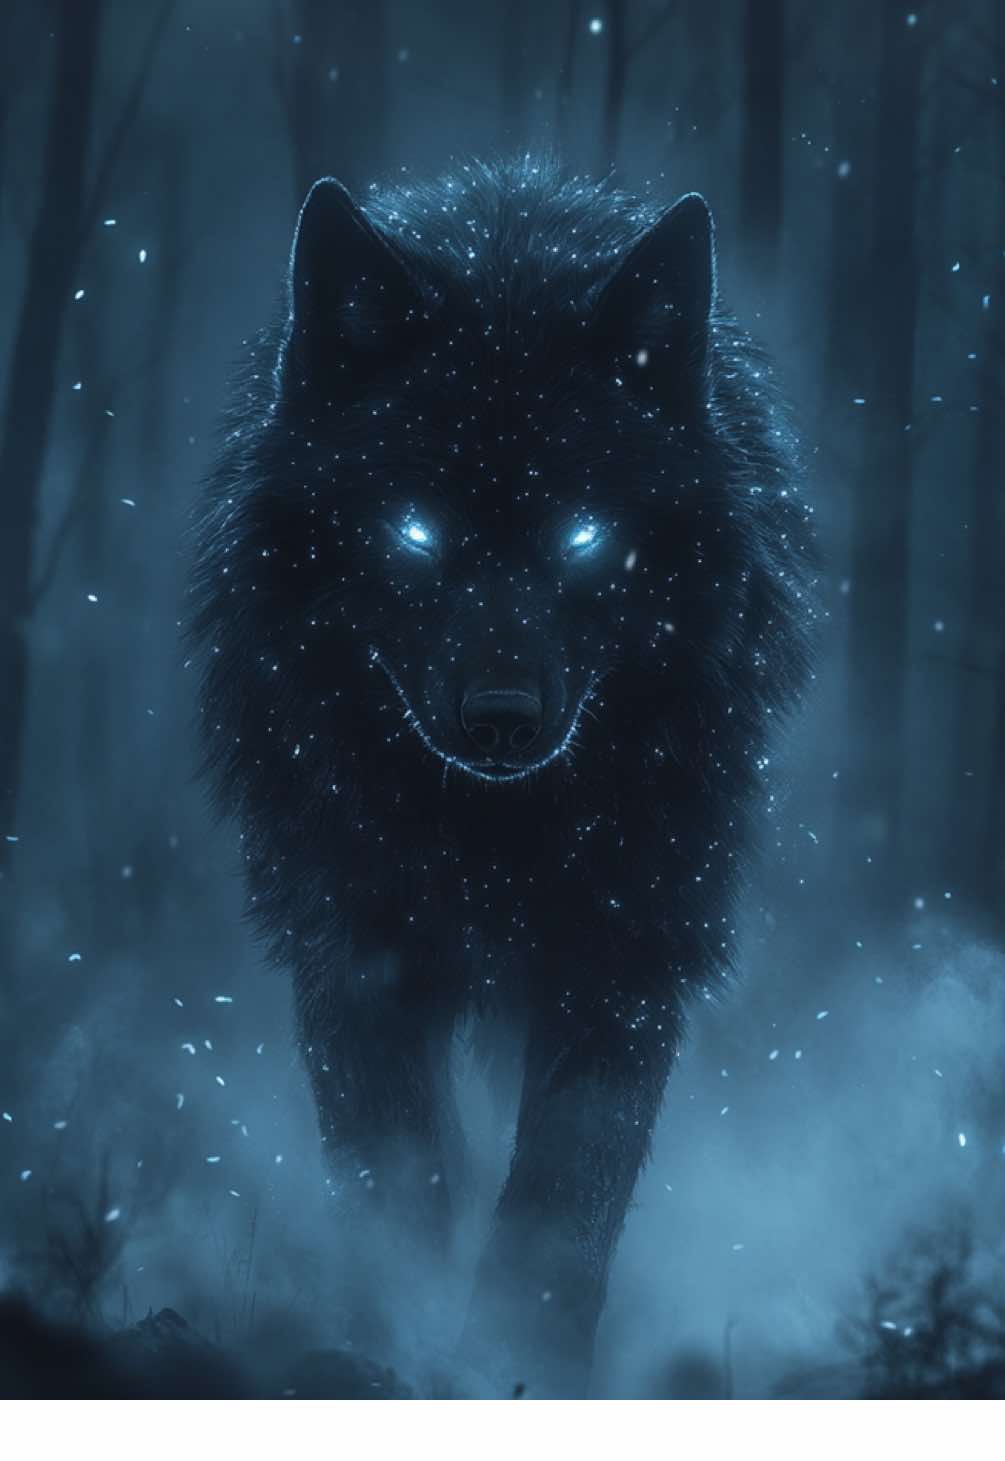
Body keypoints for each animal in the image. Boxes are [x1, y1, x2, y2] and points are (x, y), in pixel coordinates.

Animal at [189, 158, 816, 1396]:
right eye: (415, 531)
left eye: (584, 536)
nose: (501, 721)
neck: (494, 832)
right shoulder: (356, 947)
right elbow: (398, 1182)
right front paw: (400, 1350)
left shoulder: (627, 949)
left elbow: (560, 1201)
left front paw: (519, 1363)